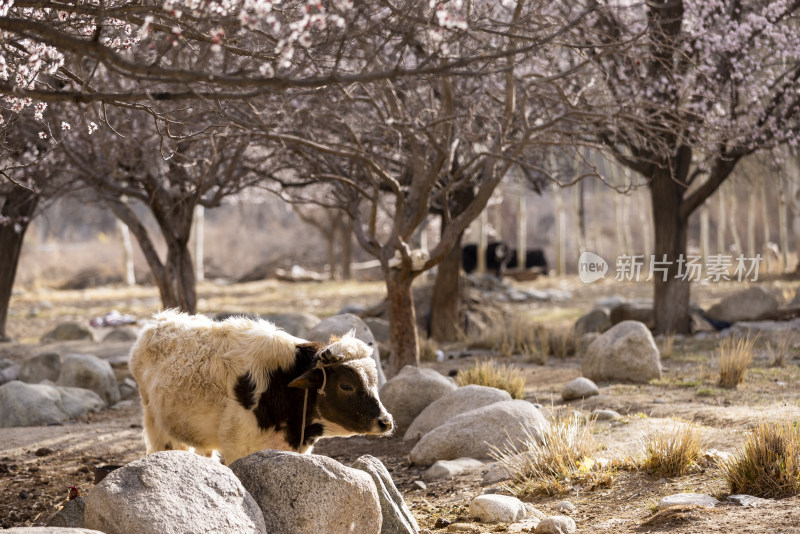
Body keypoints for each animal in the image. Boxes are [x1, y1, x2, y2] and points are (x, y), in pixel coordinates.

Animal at [129, 310, 394, 464]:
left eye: (374, 381)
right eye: (346, 385)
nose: (386, 421)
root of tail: (159, 321)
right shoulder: (237, 447)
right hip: (158, 429)